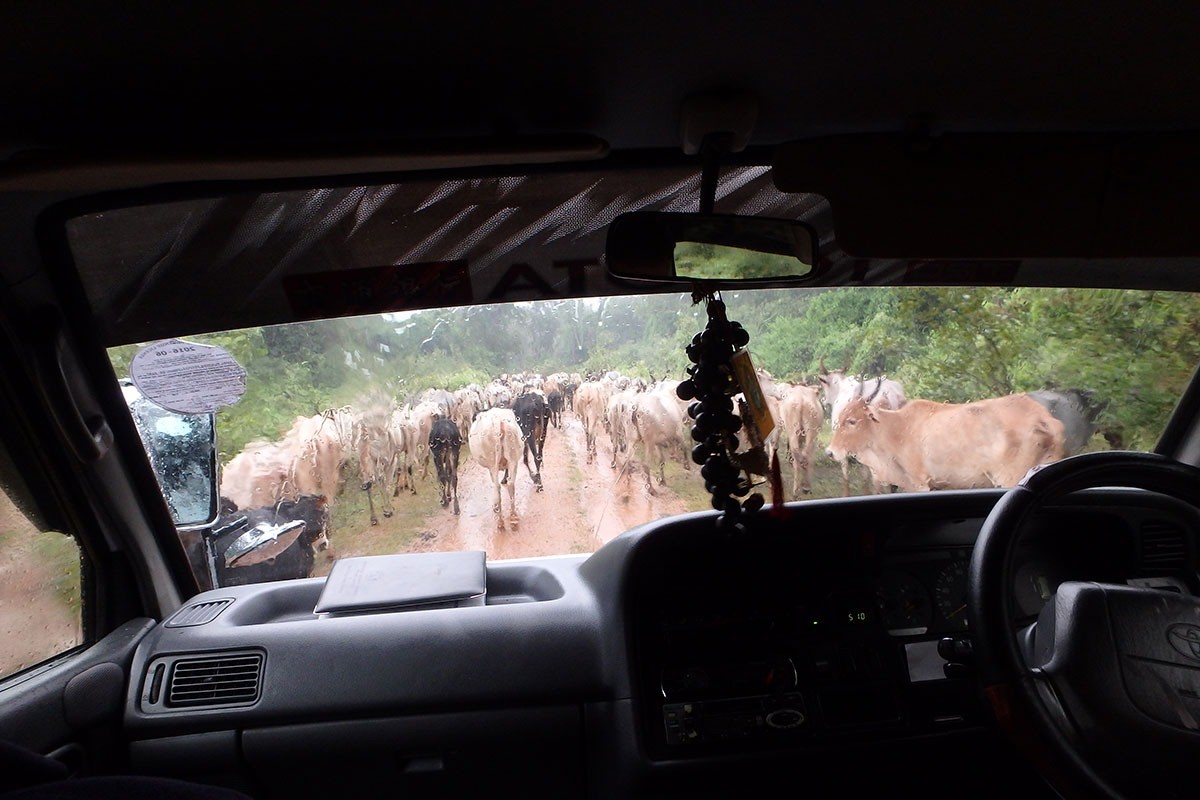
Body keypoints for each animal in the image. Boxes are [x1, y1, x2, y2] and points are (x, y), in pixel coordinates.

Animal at [830, 395, 1065, 494]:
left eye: (851, 421)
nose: (830, 452)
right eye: (838, 418)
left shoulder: (919, 483)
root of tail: (1042, 417)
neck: (896, 429)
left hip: (1009, 477)